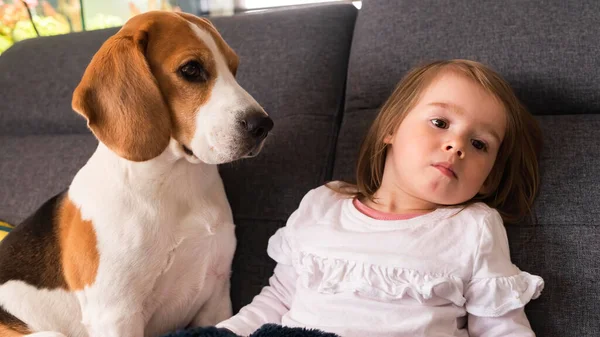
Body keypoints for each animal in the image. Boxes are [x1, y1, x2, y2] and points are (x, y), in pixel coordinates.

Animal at [0, 10, 270, 336]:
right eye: (191, 69)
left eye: (234, 68)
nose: (263, 125)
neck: (176, 181)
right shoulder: (117, 315)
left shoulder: (215, 300)